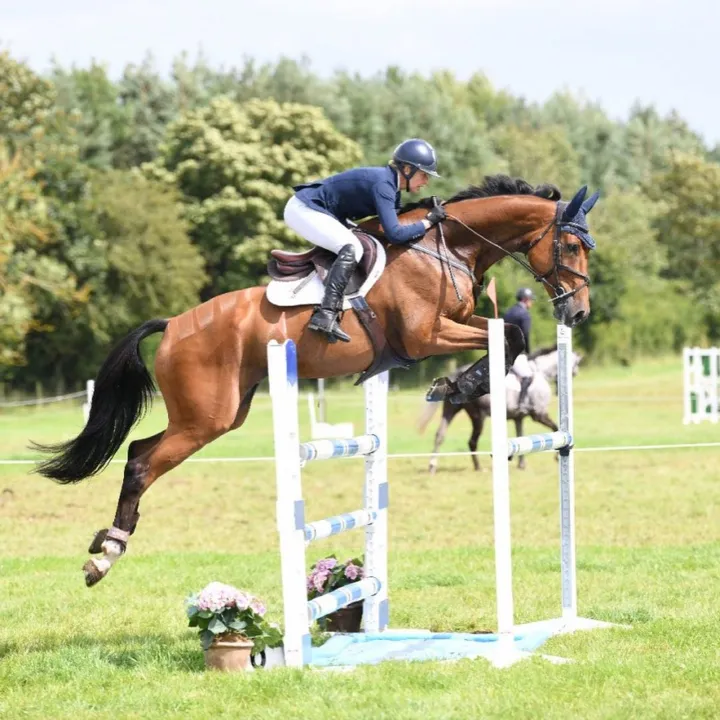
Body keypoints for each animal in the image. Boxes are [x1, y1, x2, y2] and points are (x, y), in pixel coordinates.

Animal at [31, 174, 600, 584]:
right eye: (573, 249)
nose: (579, 312)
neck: (445, 247)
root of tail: (173, 324)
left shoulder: (455, 325)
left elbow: (508, 337)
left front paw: (458, 385)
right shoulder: (425, 335)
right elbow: (508, 338)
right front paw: (456, 386)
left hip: (222, 414)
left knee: (139, 450)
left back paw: (107, 545)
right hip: (204, 418)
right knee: (141, 463)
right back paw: (105, 555)